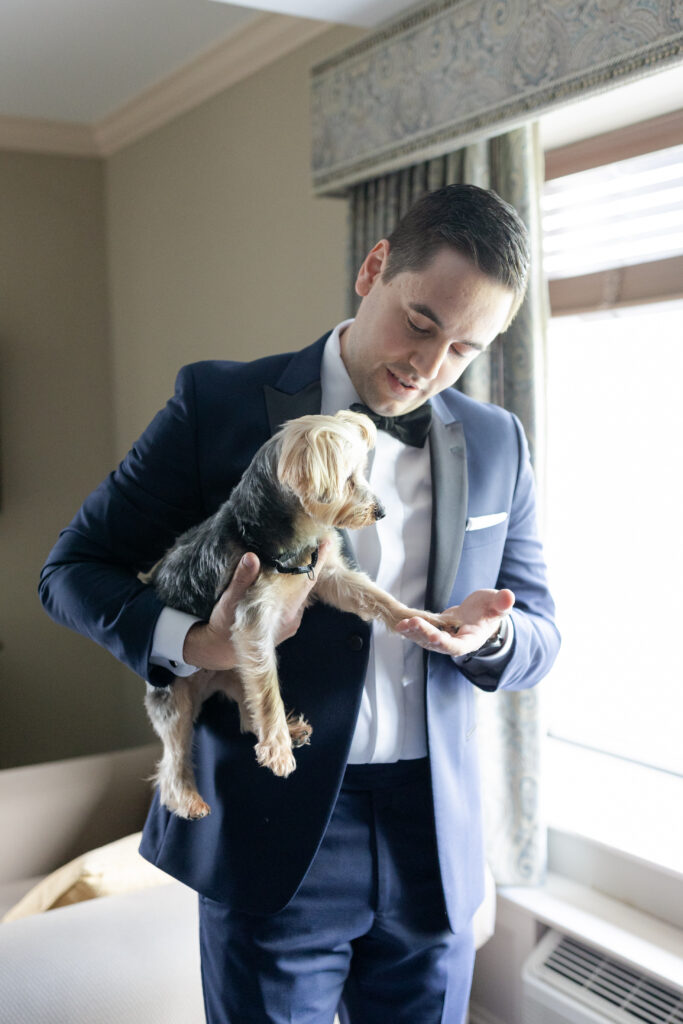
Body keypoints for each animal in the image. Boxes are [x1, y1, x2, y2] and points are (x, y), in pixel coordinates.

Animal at [143, 407, 450, 815]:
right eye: (348, 480)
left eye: (361, 474)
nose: (382, 511)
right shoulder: (253, 617)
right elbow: (269, 691)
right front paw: (277, 750)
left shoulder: (331, 576)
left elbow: (378, 598)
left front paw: (427, 620)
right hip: (174, 695)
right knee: (175, 753)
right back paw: (188, 797)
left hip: (235, 669)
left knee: (249, 705)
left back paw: (289, 729)